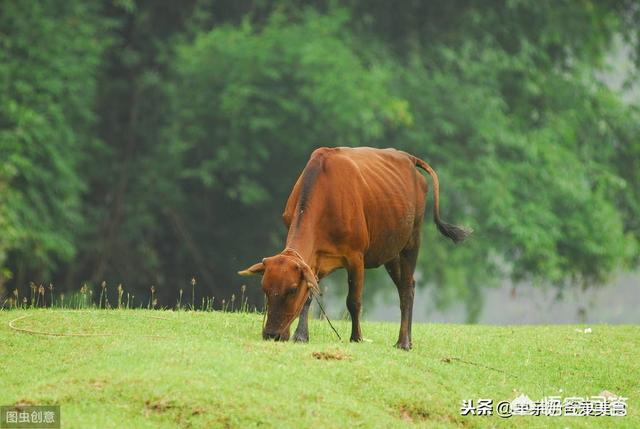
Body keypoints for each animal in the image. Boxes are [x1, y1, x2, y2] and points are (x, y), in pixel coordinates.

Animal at [239, 146, 470, 348]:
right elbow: (310, 295)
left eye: (292, 289)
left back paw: (403, 342)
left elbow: (354, 301)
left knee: (406, 288)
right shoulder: (313, 259)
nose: (272, 334)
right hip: (390, 251)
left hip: (412, 239)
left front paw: (356, 337)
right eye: (265, 288)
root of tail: (409, 158)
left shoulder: (356, 256)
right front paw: (301, 336)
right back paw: (408, 339)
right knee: (409, 284)